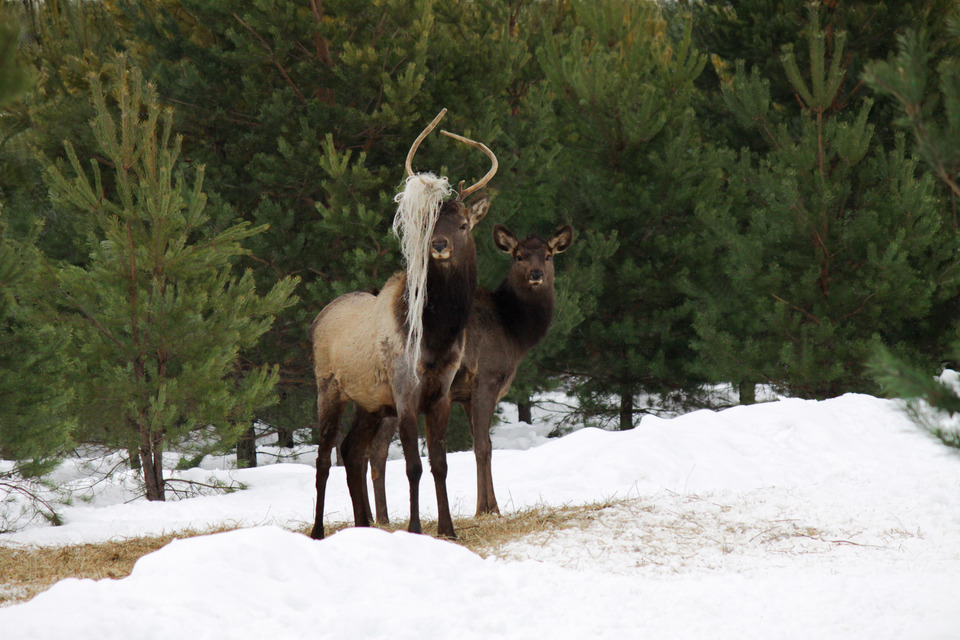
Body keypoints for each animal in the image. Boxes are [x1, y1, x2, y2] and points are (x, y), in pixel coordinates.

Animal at [312, 111, 498, 540]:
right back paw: (317, 530)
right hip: (328, 387)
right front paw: (414, 528)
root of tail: (316, 320)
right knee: (324, 457)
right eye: (429, 222)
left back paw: (363, 524)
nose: (439, 245)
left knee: (351, 451)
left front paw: (448, 529)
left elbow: (439, 464)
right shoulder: (405, 389)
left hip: (369, 402)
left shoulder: (441, 391)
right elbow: (413, 466)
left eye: (463, 224)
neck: (438, 334)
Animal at [358, 222, 572, 524]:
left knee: (365, 450)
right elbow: (482, 446)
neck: (513, 331)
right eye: (518, 256)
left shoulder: (466, 396)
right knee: (375, 451)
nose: (536, 274)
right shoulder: (487, 378)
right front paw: (486, 509)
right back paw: (382, 519)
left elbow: (485, 445)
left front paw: (490, 506)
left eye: (548, 255)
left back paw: (375, 518)